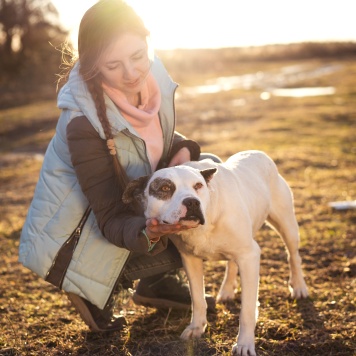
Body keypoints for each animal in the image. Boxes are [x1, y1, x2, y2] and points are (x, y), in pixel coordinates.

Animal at [123, 151, 308, 356]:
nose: (192, 202)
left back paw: (299, 287)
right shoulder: (190, 260)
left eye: (198, 186)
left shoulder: (250, 256)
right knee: (232, 263)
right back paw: (226, 290)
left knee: (293, 256)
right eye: (165, 187)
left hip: (287, 226)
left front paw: (244, 343)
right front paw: (196, 328)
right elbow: (197, 299)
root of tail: (258, 152)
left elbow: (247, 310)